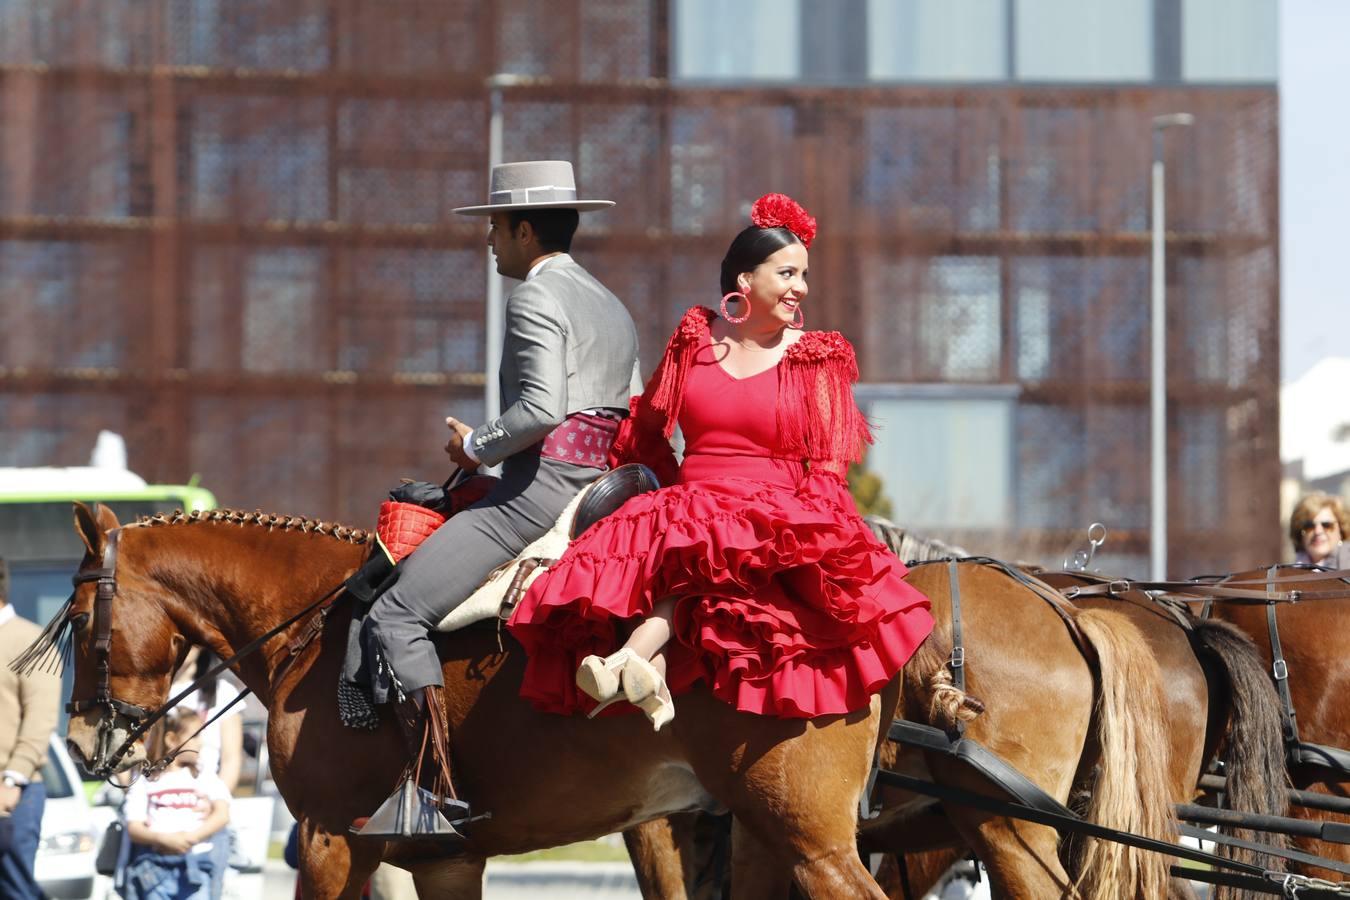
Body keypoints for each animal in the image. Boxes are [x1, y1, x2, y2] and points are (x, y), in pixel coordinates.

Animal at [58, 507, 945, 900]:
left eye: (75, 615)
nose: (82, 739)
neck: (319, 624)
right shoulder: (445, 859)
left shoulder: (330, 839)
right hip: (767, 837)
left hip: (809, 839)